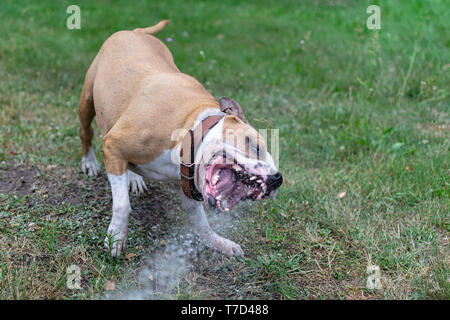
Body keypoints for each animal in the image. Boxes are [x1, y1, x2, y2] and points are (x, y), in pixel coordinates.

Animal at [77, 20, 282, 258]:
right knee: (86, 132)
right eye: (256, 146)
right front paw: (116, 237)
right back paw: (90, 162)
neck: (189, 127)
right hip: (87, 100)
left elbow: (201, 223)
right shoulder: (113, 144)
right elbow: (121, 204)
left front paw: (219, 242)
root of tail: (134, 32)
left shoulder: (187, 186)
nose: (277, 178)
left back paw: (134, 178)